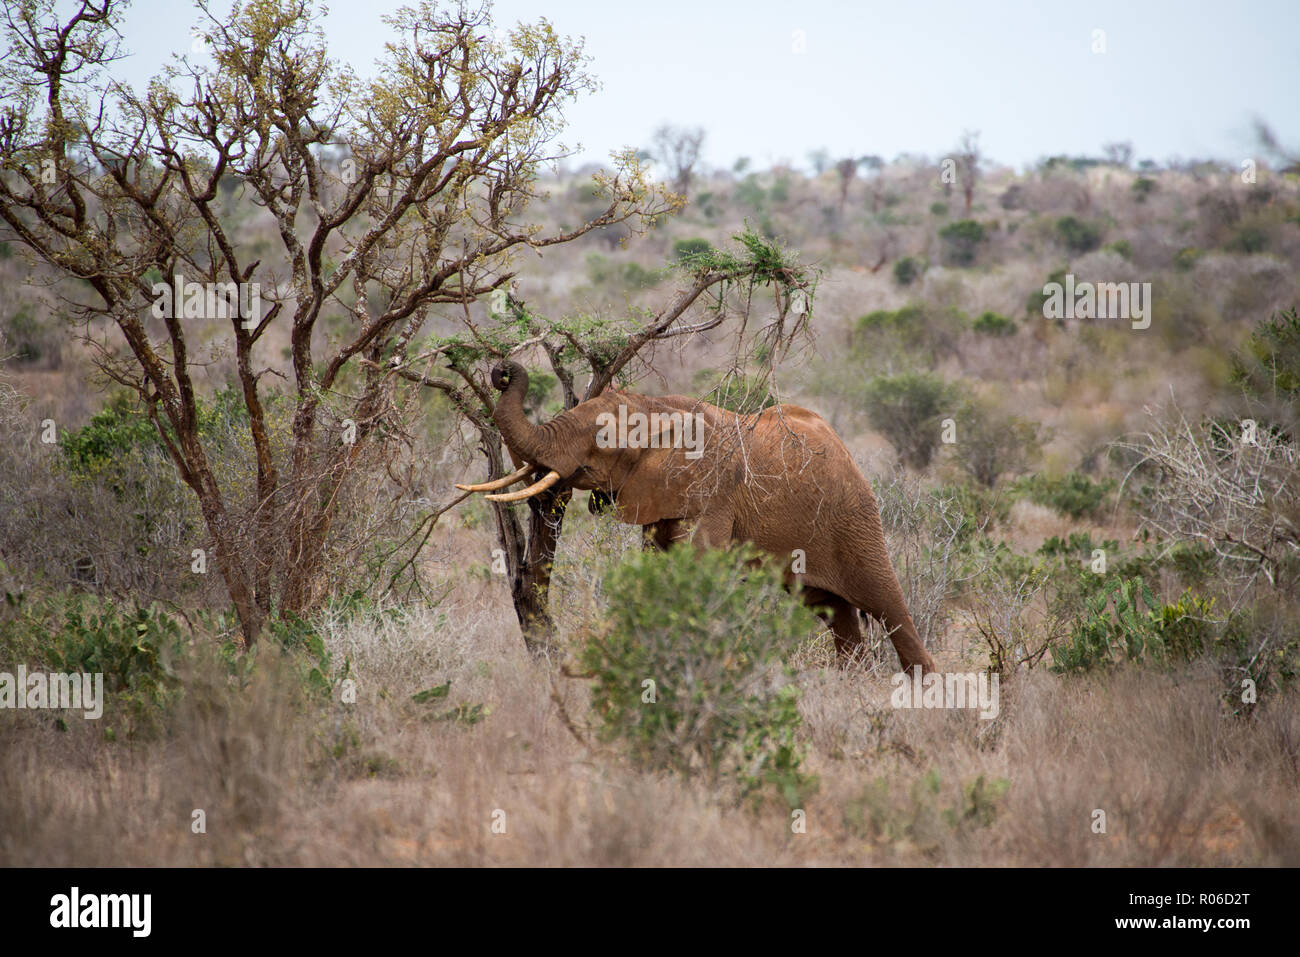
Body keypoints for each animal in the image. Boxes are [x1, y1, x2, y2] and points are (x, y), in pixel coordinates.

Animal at [457, 356, 935, 670]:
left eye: (603, 442)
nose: (502, 371)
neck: (657, 406)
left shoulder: (713, 492)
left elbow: (698, 565)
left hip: (855, 517)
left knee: (886, 604)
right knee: (836, 613)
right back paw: (851, 684)